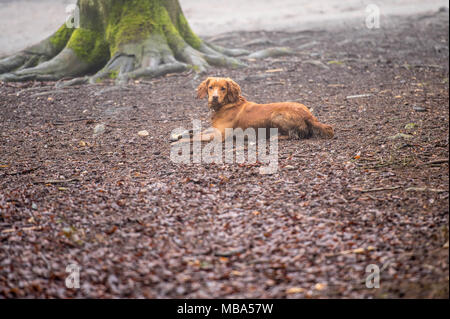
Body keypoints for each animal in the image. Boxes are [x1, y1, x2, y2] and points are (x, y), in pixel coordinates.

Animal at [172, 77, 334, 143]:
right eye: (210, 87)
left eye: (223, 88)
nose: (215, 97)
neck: (225, 105)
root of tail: (309, 115)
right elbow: (197, 132)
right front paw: (179, 135)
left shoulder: (220, 135)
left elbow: (194, 138)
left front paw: (178, 142)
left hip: (276, 115)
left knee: (294, 135)